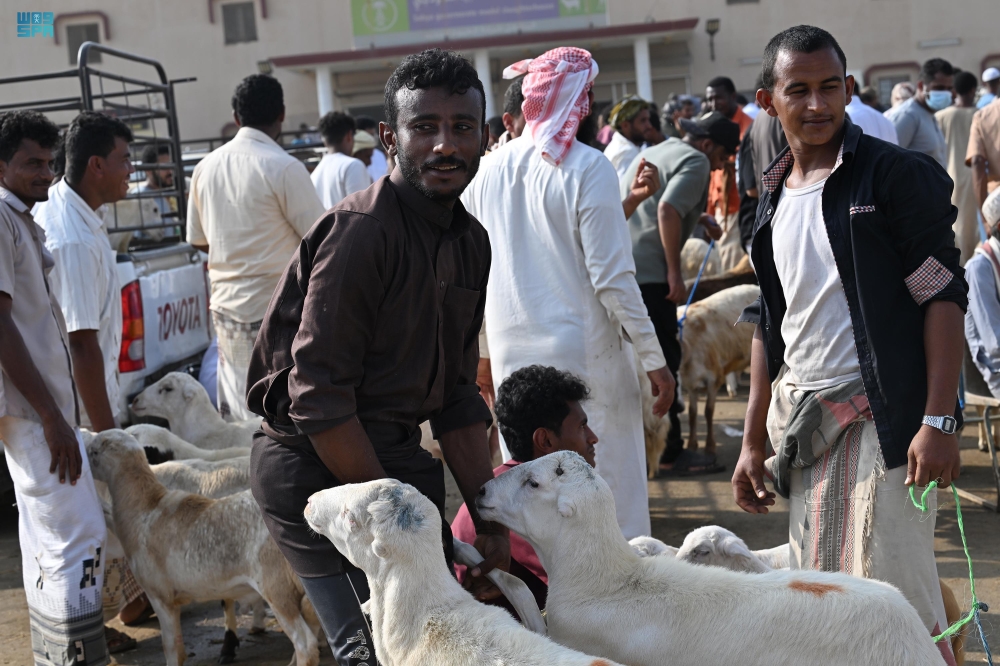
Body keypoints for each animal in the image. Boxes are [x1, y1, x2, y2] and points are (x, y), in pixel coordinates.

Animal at [89, 428, 318, 660]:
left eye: (93, 451)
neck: (145, 507)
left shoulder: (160, 596)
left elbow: (171, 648)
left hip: (276, 586)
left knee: (305, 643)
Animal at [676, 282, 752, 454]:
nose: (677, 406)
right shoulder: (691, 384)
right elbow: (692, 413)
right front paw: (692, 444)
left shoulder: (713, 378)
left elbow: (708, 411)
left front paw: (710, 445)